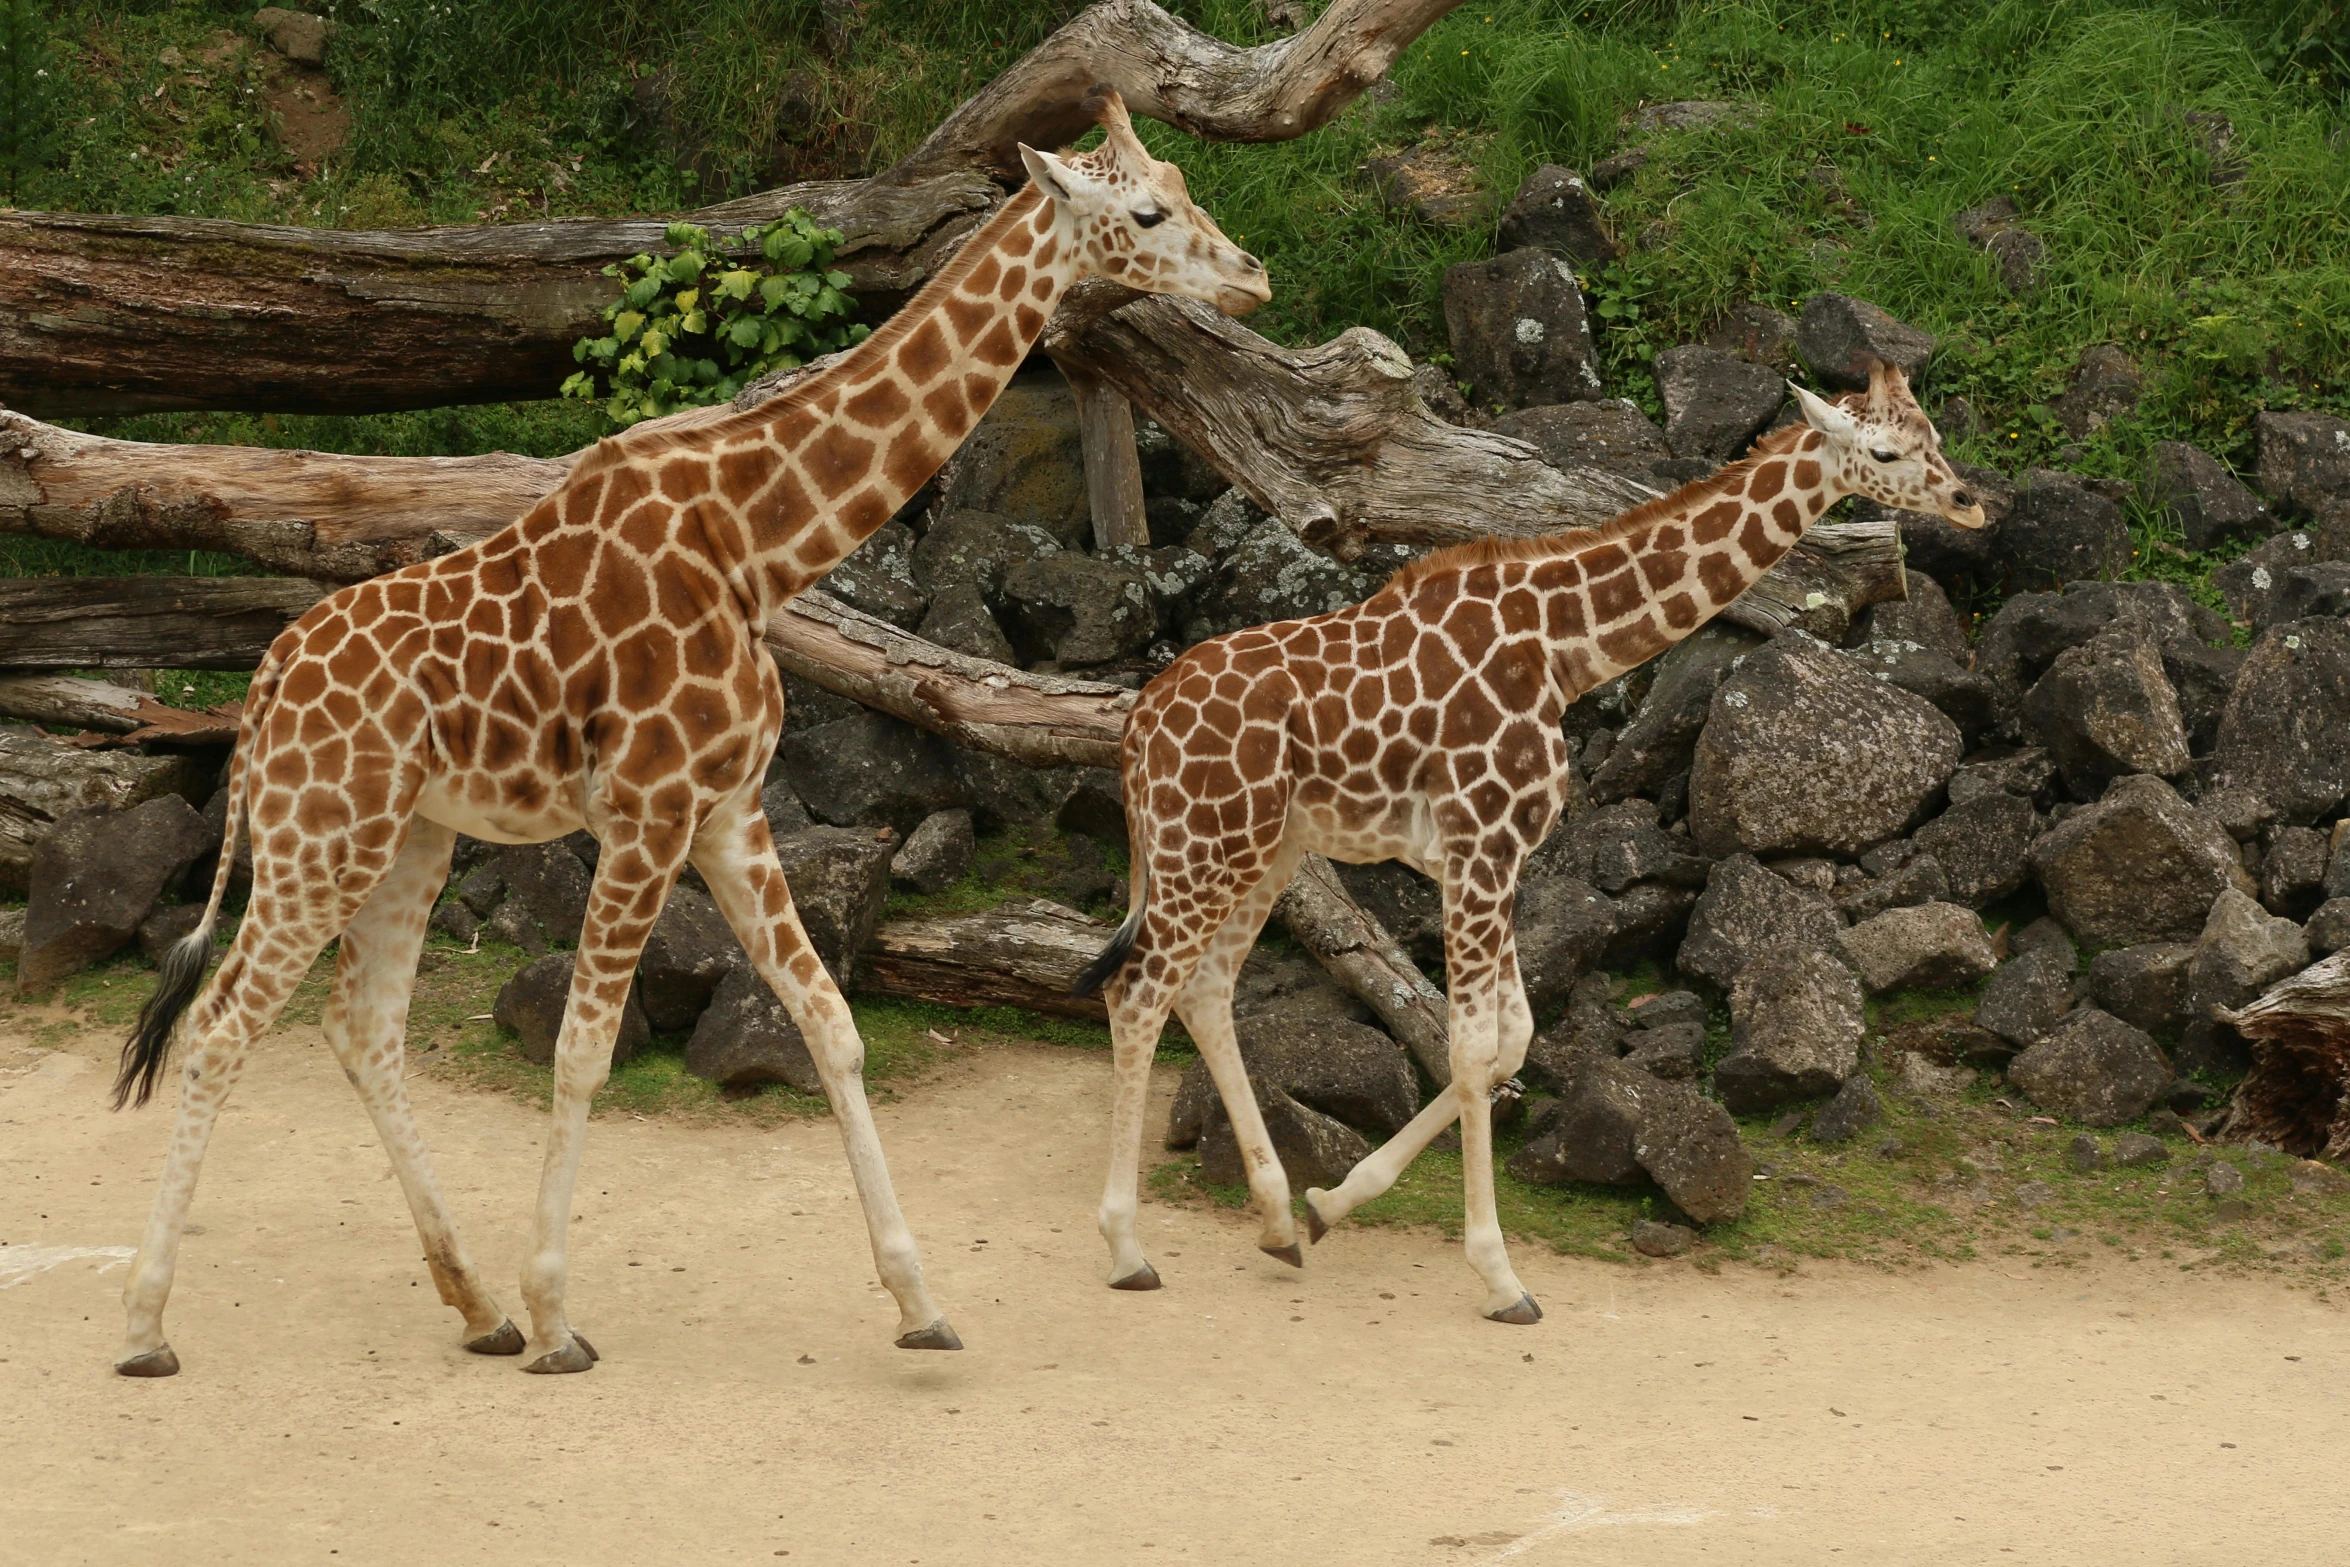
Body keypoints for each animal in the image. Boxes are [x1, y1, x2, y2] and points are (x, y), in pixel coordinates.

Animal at [105, 92, 1269, 1381]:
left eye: (1184, 185)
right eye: (1148, 211)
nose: (1254, 276)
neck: (758, 541)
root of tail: (262, 688)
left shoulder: (727, 809)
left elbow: (832, 1024)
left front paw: (918, 1302)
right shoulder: (649, 807)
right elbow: (582, 1048)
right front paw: (559, 1315)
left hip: (405, 837)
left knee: (362, 1028)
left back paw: (473, 1304)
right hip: (320, 837)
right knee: (219, 1026)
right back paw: (151, 1325)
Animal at [1071, 361, 1983, 1315]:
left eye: (1932, 433)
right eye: (1887, 452)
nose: (1969, 501)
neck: (1565, 648)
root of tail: (1136, 726)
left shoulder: (1495, 852)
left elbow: (1512, 1038)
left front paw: (1334, 1202)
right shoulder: (1480, 842)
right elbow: (1474, 1046)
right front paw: (1501, 1274)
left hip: (1263, 849)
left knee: (1206, 987)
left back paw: (1281, 1221)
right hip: (1201, 843)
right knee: (1137, 990)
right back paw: (1128, 1248)